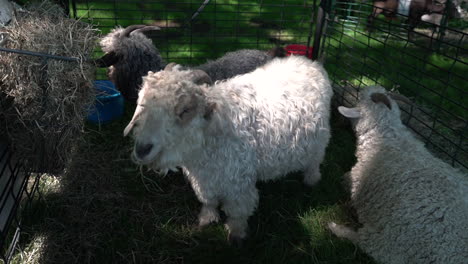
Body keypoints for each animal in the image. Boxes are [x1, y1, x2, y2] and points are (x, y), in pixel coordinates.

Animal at [123, 55, 332, 245]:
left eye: (184, 110)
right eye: (142, 104)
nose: (142, 149)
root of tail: (309, 62)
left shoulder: (238, 182)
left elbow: (238, 211)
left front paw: (236, 234)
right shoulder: (205, 177)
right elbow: (208, 200)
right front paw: (207, 218)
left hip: (319, 140)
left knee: (315, 160)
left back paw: (311, 180)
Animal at [330, 85, 468, 264]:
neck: (389, 139)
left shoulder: (356, 179)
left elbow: (343, 180)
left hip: (396, 241)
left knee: (366, 242)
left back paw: (335, 228)